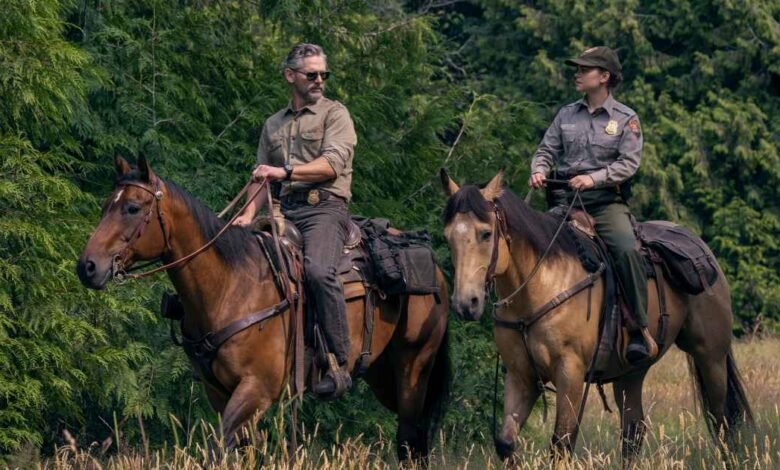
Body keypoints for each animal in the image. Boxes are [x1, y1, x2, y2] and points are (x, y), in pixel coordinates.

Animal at [76, 155, 450, 461]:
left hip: (413, 368)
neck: (231, 287)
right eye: (106, 206)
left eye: (133, 208)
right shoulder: (220, 392)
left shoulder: (256, 389)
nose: (88, 267)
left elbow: (216, 449)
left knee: (409, 439)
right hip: (382, 376)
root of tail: (437, 271)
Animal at [439, 168, 752, 463]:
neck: (540, 283)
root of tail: (705, 253)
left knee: (722, 419)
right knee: (633, 431)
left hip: (710, 357)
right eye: (448, 237)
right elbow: (506, 442)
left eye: (486, 233)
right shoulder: (521, 376)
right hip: (631, 372)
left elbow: (561, 445)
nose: (466, 303)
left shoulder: (571, 373)